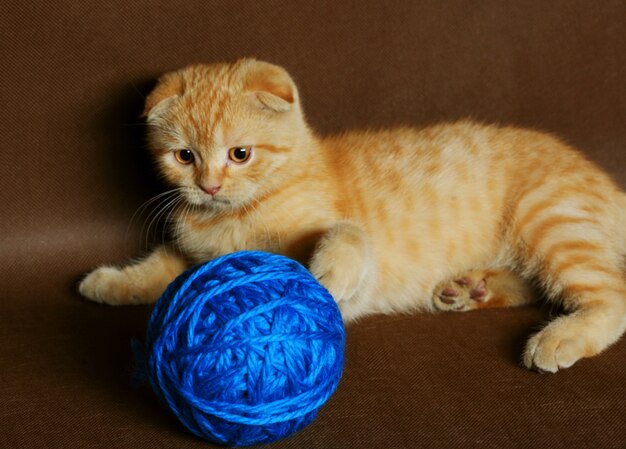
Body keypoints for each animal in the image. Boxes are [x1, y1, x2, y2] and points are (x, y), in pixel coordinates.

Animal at [80, 57, 624, 372]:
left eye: (240, 154)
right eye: (184, 157)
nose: (209, 185)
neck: (231, 218)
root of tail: (604, 179)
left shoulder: (343, 245)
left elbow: (348, 233)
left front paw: (331, 269)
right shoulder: (192, 256)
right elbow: (158, 271)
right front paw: (107, 283)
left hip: (548, 217)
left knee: (612, 293)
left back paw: (559, 338)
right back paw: (470, 288)